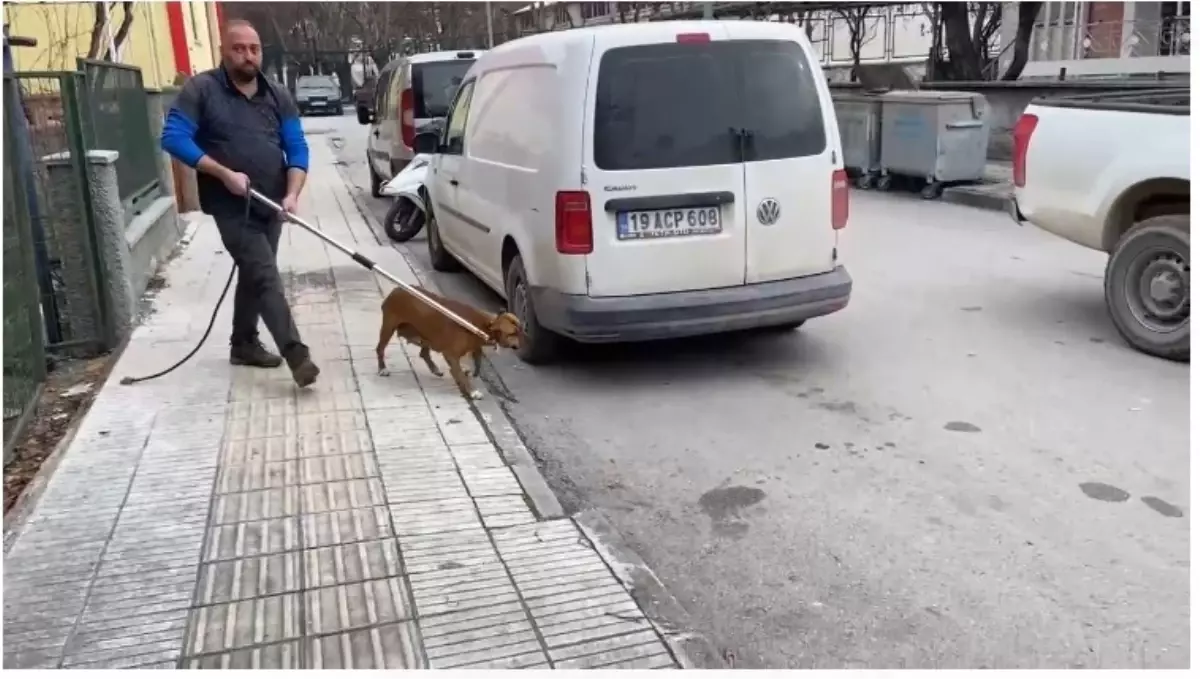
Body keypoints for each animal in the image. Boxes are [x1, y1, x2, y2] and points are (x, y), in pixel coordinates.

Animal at [376, 286, 523, 403]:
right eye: (511, 333)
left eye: (520, 332)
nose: (518, 347)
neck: (480, 326)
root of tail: (397, 289)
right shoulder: (450, 354)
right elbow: (461, 374)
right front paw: (472, 391)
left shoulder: (474, 347)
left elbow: (477, 359)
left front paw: (473, 370)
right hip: (388, 327)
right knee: (380, 348)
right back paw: (382, 368)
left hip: (425, 334)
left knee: (423, 352)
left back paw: (435, 368)